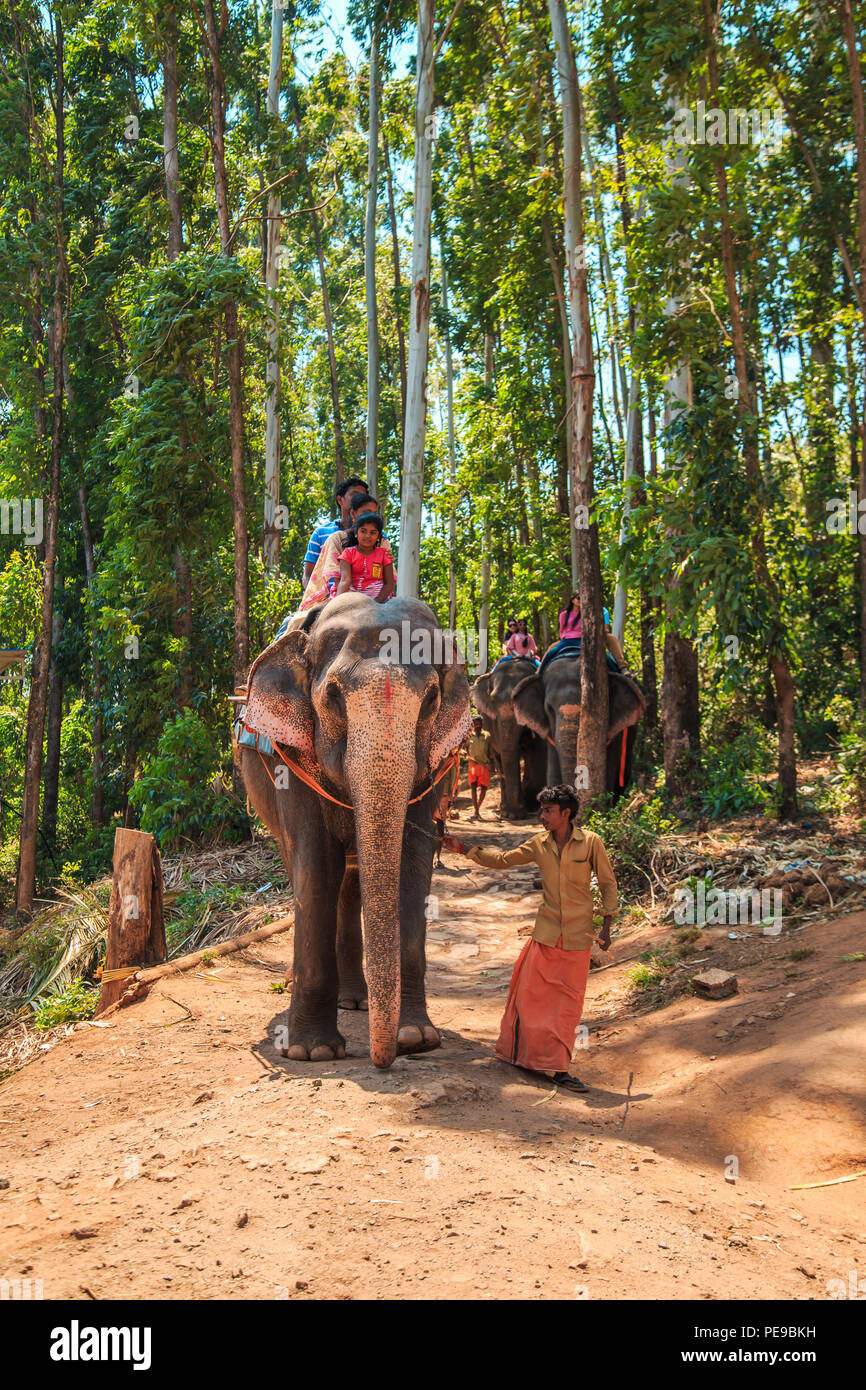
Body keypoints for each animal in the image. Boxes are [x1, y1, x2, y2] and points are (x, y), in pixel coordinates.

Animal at [240, 592, 469, 1067]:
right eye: (331, 694)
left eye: (432, 698)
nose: (382, 1061)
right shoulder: (290, 757)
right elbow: (314, 864)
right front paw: (313, 1052)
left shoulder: (432, 765)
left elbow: (411, 863)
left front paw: (416, 1038)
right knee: (306, 870)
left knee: (351, 883)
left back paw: (356, 1002)